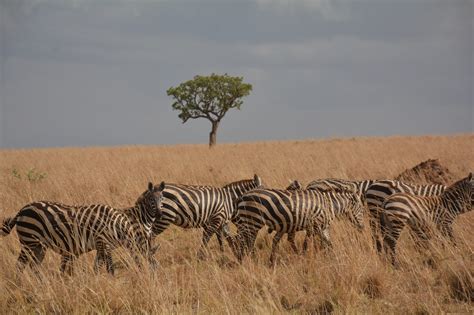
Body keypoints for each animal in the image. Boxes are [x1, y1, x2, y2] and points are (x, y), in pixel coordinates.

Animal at [0, 181, 166, 276]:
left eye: (162, 198)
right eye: (152, 199)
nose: (159, 213)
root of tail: (22, 210)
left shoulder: (102, 245)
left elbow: (98, 266)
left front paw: (96, 281)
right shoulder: (103, 242)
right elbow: (109, 267)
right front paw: (110, 281)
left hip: (39, 245)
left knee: (34, 266)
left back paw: (41, 285)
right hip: (28, 241)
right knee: (20, 265)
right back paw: (20, 285)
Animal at [228, 189, 364, 266]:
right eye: (362, 210)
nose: (362, 228)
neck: (330, 205)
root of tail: (241, 196)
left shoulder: (322, 227)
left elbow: (329, 243)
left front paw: (333, 257)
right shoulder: (314, 226)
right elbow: (306, 243)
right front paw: (303, 257)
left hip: (248, 222)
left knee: (243, 241)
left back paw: (245, 260)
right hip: (252, 220)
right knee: (246, 242)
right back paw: (249, 261)